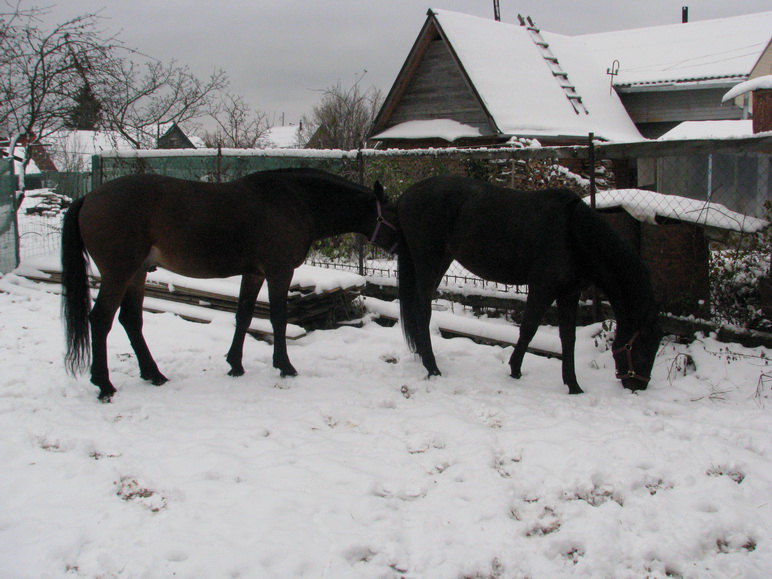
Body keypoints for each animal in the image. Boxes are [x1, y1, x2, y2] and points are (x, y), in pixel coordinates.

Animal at [61, 168, 398, 402]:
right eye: (392, 212)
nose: (402, 246)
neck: (294, 201)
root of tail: (89, 197)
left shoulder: (254, 274)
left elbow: (245, 315)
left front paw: (235, 364)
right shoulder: (279, 271)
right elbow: (277, 319)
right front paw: (284, 366)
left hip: (137, 273)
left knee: (131, 320)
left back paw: (153, 374)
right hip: (119, 273)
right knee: (100, 320)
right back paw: (105, 385)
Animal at [398, 176, 664, 394]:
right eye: (644, 345)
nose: (637, 385)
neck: (573, 233)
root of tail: (407, 195)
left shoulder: (569, 293)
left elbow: (568, 337)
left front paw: (573, 386)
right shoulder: (542, 288)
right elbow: (529, 328)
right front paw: (515, 370)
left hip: (441, 260)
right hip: (428, 261)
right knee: (422, 310)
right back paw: (432, 367)